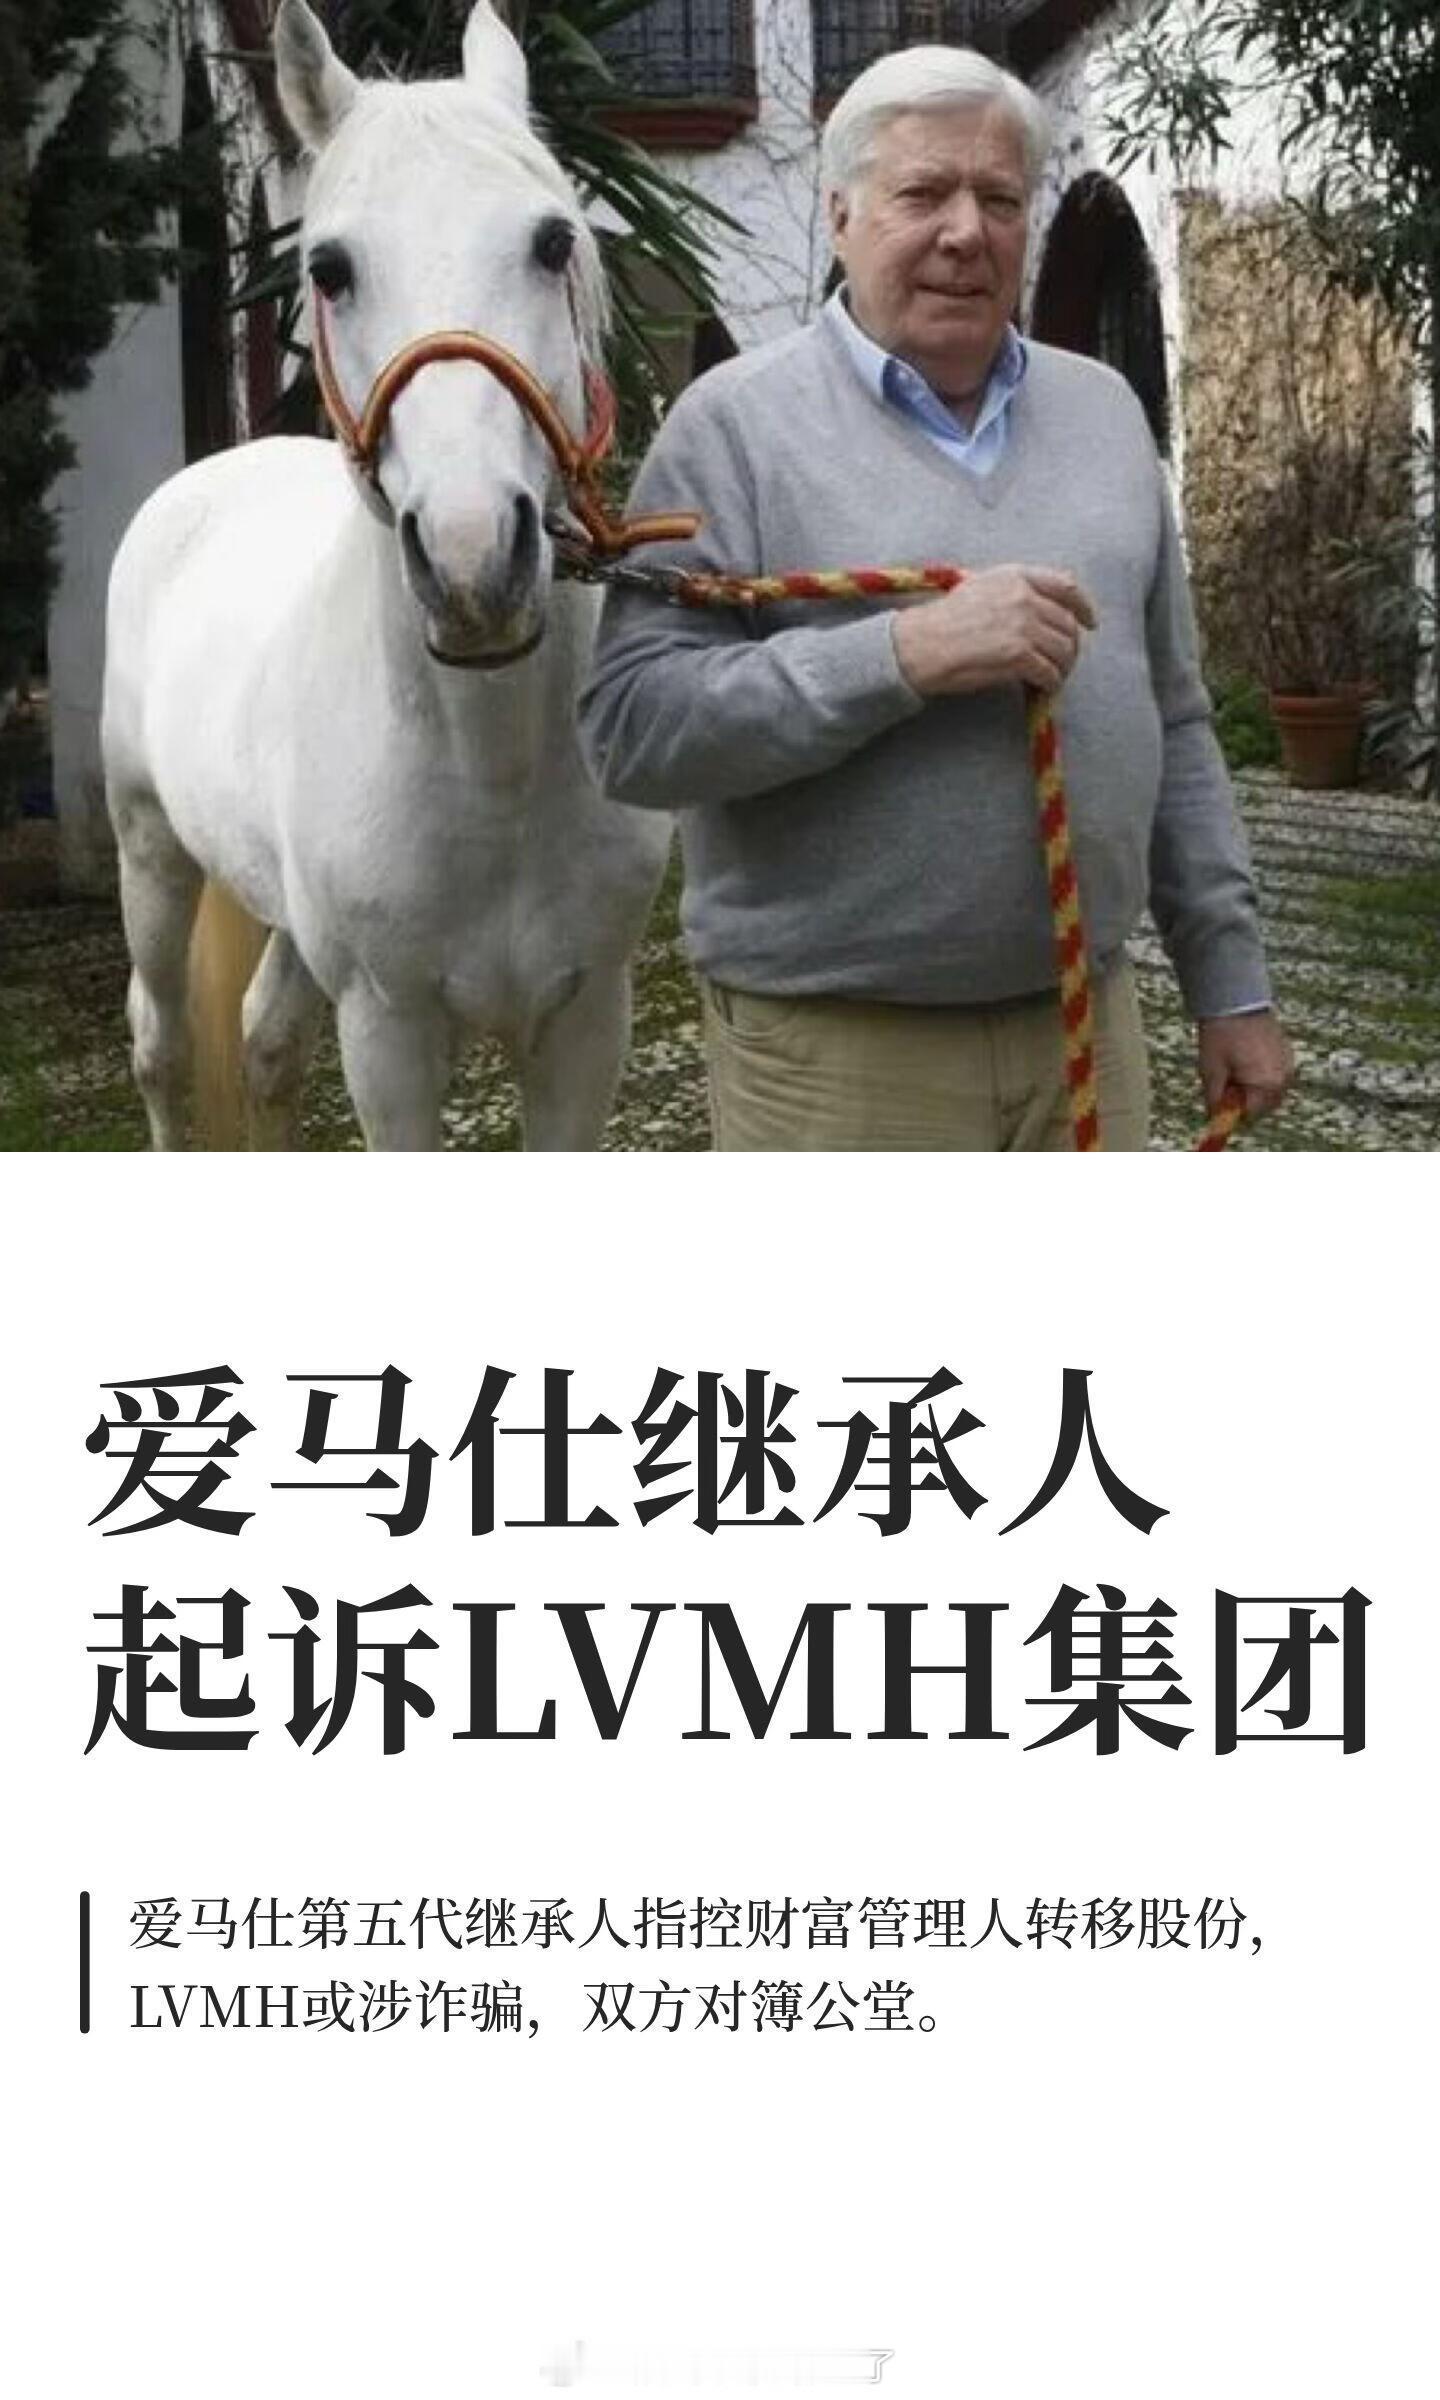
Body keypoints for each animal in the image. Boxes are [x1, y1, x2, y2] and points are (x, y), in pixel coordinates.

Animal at [101, 0, 671, 1150]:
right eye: (327, 269)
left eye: (554, 241)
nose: (472, 558)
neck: (493, 776)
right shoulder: (389, 1034)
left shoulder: (589, 1023)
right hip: (150, 851)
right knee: (162, 1042)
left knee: (266, 1040)